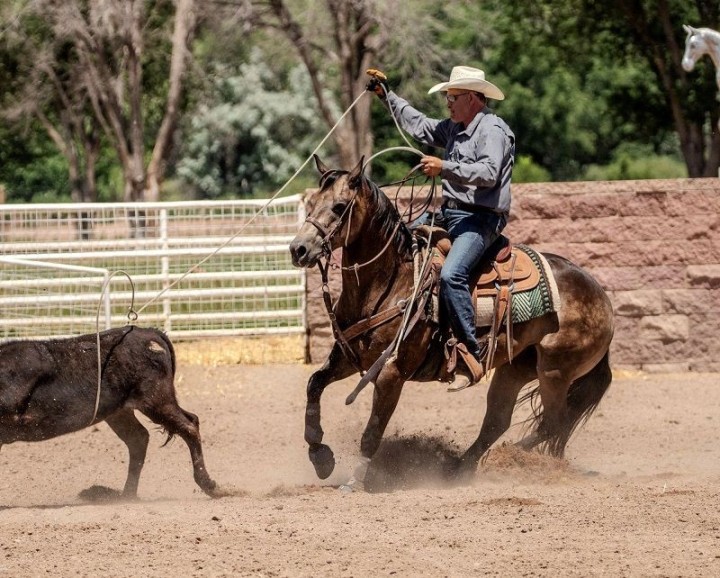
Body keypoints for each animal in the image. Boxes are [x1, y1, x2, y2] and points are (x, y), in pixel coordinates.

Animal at [289, 156, 614, 491]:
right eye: (312, 203)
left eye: (339, 206)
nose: (298, 249)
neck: (390, 283)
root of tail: (601, 296)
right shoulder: (348, 358)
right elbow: (314, 384)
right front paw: (320, 455)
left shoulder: (393, 372)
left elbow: (373, 430)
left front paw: (356, 480)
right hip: (516, 368)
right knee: (498, 423)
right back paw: (459, 468)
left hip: (555, 371)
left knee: (552, 423)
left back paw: (510, 460)